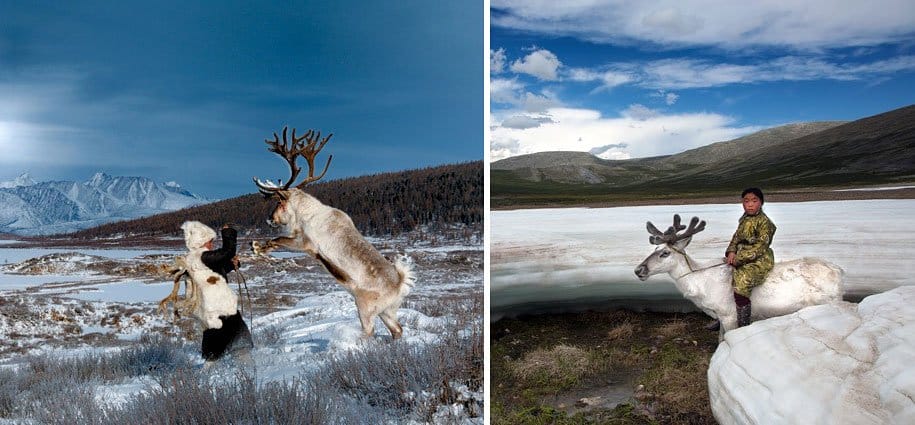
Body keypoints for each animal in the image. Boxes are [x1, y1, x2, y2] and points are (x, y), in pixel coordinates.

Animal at [251, 126, 415, 339]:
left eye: (279, 202)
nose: (269, 219)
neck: (305, 213)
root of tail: (400, 285)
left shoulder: (306, 243)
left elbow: (277, 239)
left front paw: (256, 247)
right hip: (387, 312)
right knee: (397, 330)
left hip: (365, 309)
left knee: (369, 331)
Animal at [634, 214, 844, 335]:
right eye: (655, 248)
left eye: (665, 253)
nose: (638, 270)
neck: (700, 283)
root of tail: (840, 271)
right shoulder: (719, 317)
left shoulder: (729, 315)